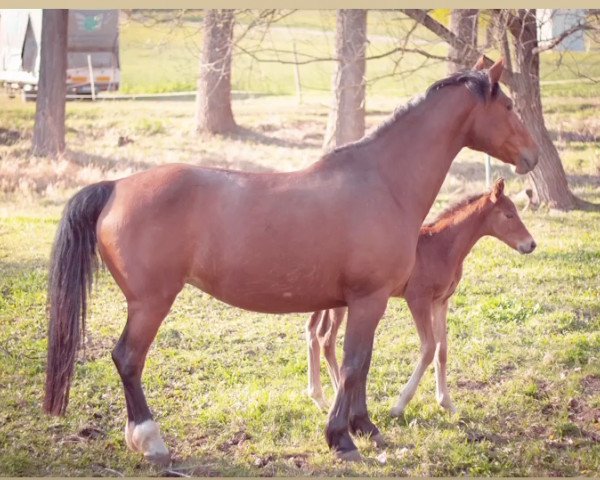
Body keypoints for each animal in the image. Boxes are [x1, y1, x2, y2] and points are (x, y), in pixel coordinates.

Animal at [308, 178, 536, 414]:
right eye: (509, 215)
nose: (531, 244)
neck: (441, 247)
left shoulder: (441, 302)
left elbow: (441, 350)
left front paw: (447, 403)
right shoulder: (418, 300)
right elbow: (428, 348)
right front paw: (399, 405)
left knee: (315, 333)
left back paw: (319, 398)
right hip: (340, 304)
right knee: (326, 340)